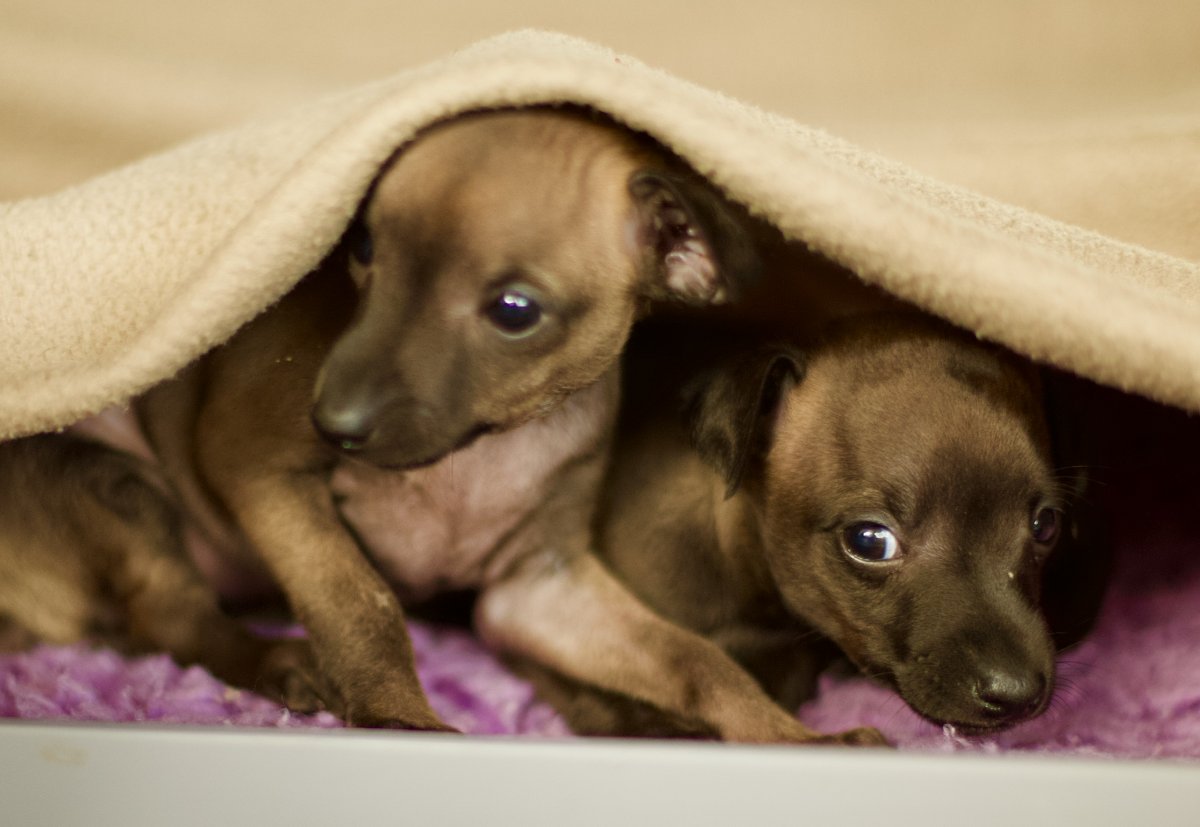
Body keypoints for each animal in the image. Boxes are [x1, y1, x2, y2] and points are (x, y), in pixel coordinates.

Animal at [129, 107, 883, 741]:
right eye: (364, 247)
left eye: (515, 311)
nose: (331, 421)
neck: (480, 454)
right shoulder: (261, 469)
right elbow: (362, 604)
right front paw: (400, 721)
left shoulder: (540, 589)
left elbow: (692, 659)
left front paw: (793, 739)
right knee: (176, 616)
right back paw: (279, 664)